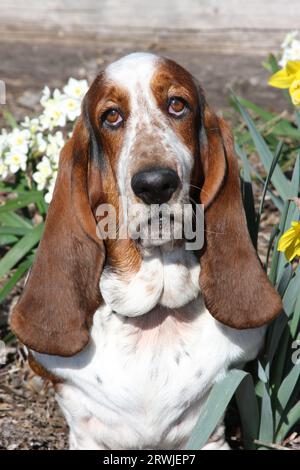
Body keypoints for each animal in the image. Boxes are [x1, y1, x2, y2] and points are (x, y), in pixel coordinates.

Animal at [9, 53, 282, 450]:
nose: (155, 184)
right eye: (111, 116)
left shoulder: (210, 434)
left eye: (177, 105)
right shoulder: (85, 430)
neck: (155, 314)